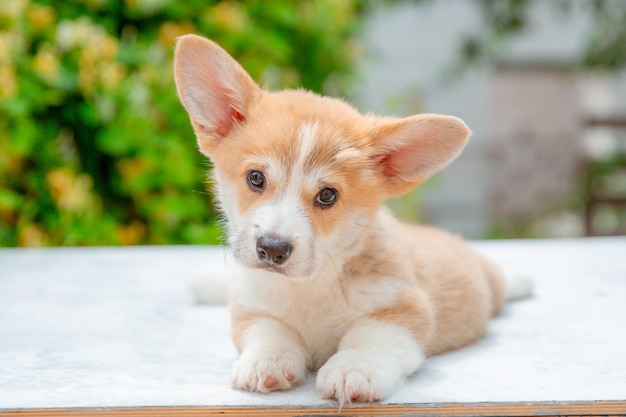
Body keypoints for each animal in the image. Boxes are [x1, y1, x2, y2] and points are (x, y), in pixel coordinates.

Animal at [173, 34, 528, 404]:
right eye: (255, 178)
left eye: (327, 195)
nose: (272, 249)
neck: (310, 285)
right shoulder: (251, 308)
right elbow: (270, 330)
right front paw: (266, 361)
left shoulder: (404, 307)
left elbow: (369, 336)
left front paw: (353, 369)